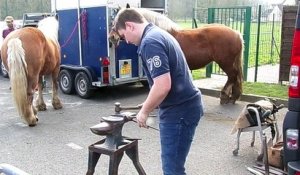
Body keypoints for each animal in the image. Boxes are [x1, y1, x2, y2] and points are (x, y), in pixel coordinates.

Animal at [109, 7, 244, 104]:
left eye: (116, 22)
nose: (111, 37)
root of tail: (236, 33)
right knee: (236, 78)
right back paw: (233, 97)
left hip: (225, 62)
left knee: (232, 76)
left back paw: (226, 96)